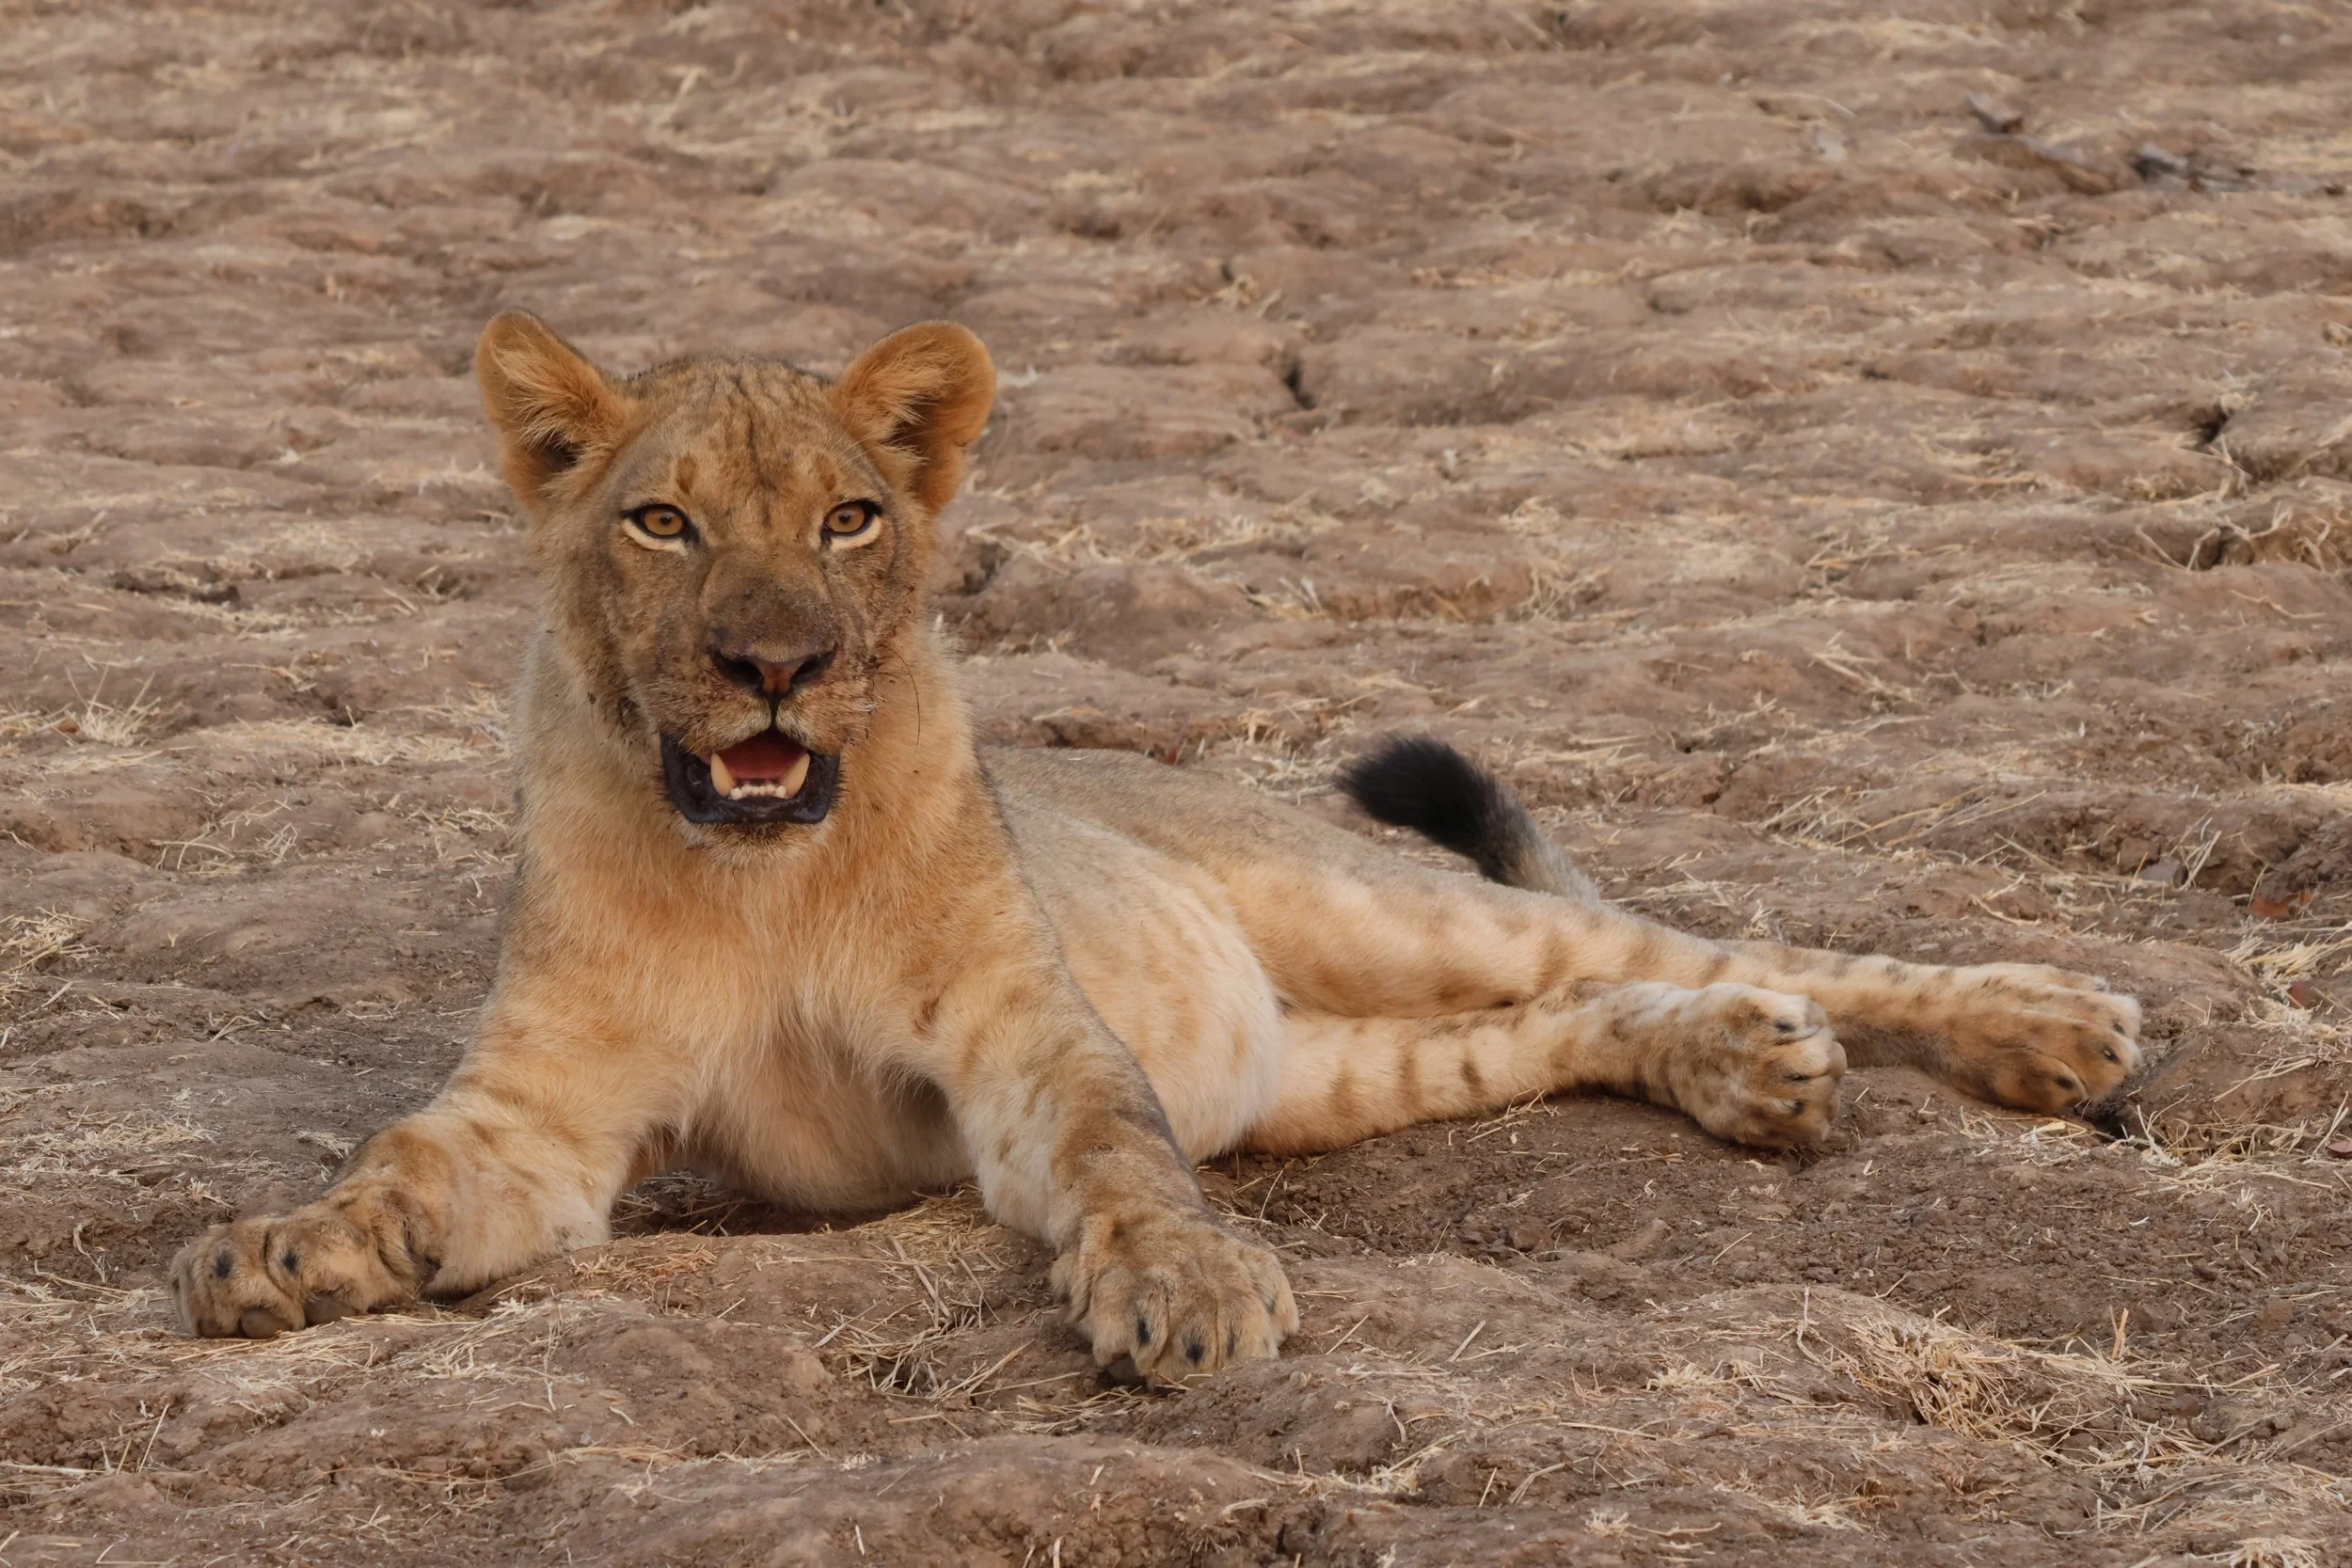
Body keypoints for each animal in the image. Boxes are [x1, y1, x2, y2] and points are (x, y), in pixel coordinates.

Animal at [168, 313, 2143, 1382]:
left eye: (850, 517)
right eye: (663, 522)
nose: (774, 664)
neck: (766, 872)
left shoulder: (1026, 1034)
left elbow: (1121, 1158)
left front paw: (1189, 1295)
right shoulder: (546, 1112)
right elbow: (404, 1163)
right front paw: (281, 1252)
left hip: (1373, 900)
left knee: (1725, 950)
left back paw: (2044, 1026)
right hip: (1319, 1067)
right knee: (1561, 1028)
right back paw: (1747, 1074)